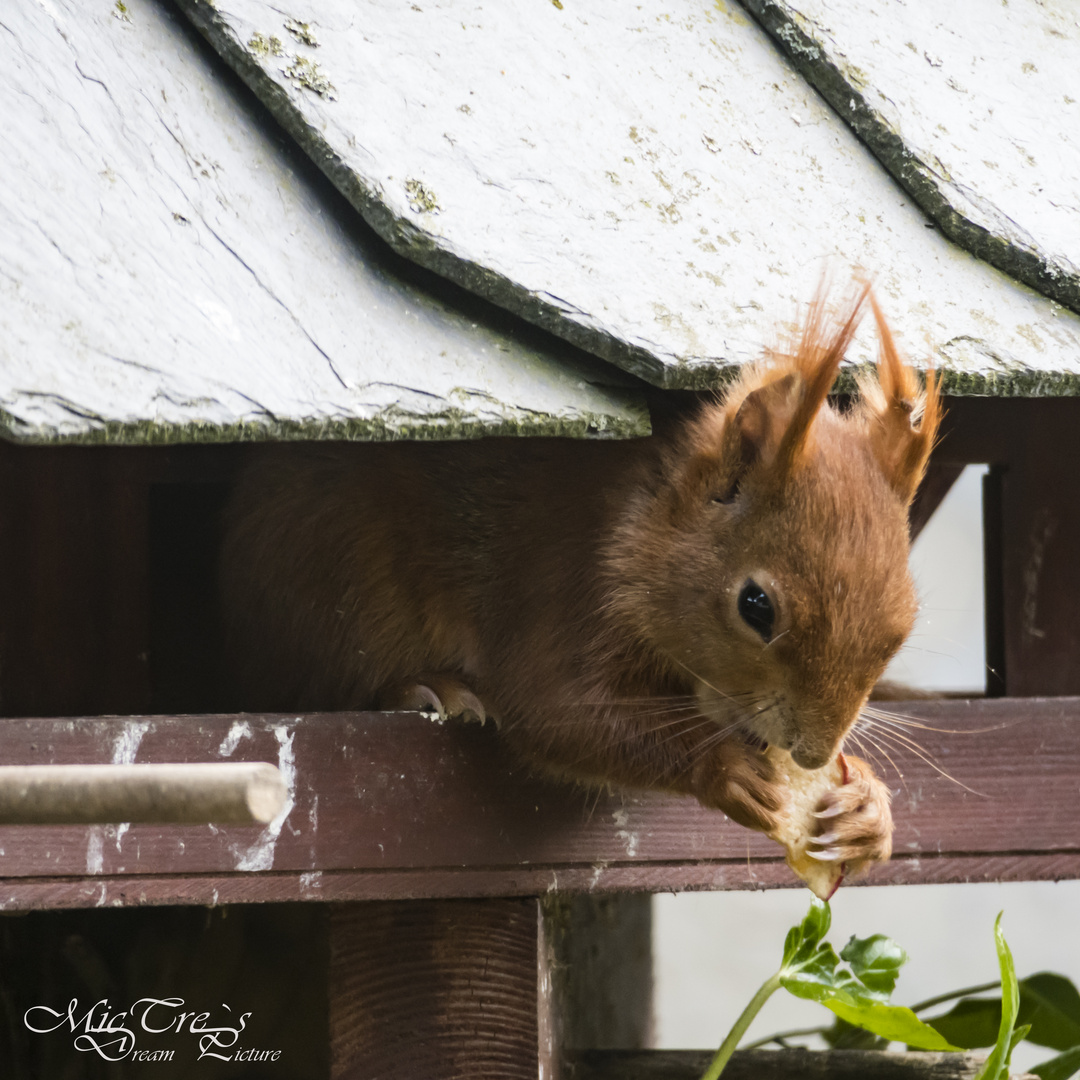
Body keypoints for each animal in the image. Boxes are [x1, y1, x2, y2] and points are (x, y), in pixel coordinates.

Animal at [217, 282, 937, 881]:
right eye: (755, 606)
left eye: (904, 626)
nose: (814, 756)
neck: (639, 520)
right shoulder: (564, 589)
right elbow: (556, 707)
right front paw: (723, 767)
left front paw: (868, 809)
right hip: (333, 578)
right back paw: (426, 688)